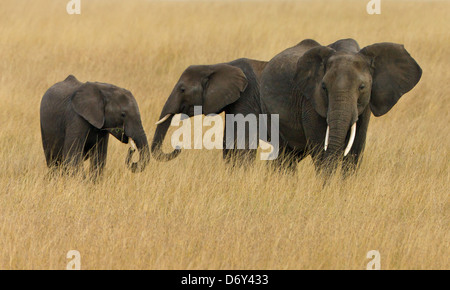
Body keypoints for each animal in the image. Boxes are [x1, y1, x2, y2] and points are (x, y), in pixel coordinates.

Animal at [260, 38, 422, 174]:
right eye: (324, 87)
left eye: (362, 87)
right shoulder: (310, 102)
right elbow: (321, 150)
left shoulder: (366, 106)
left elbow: (355, 151)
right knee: (284, 156)